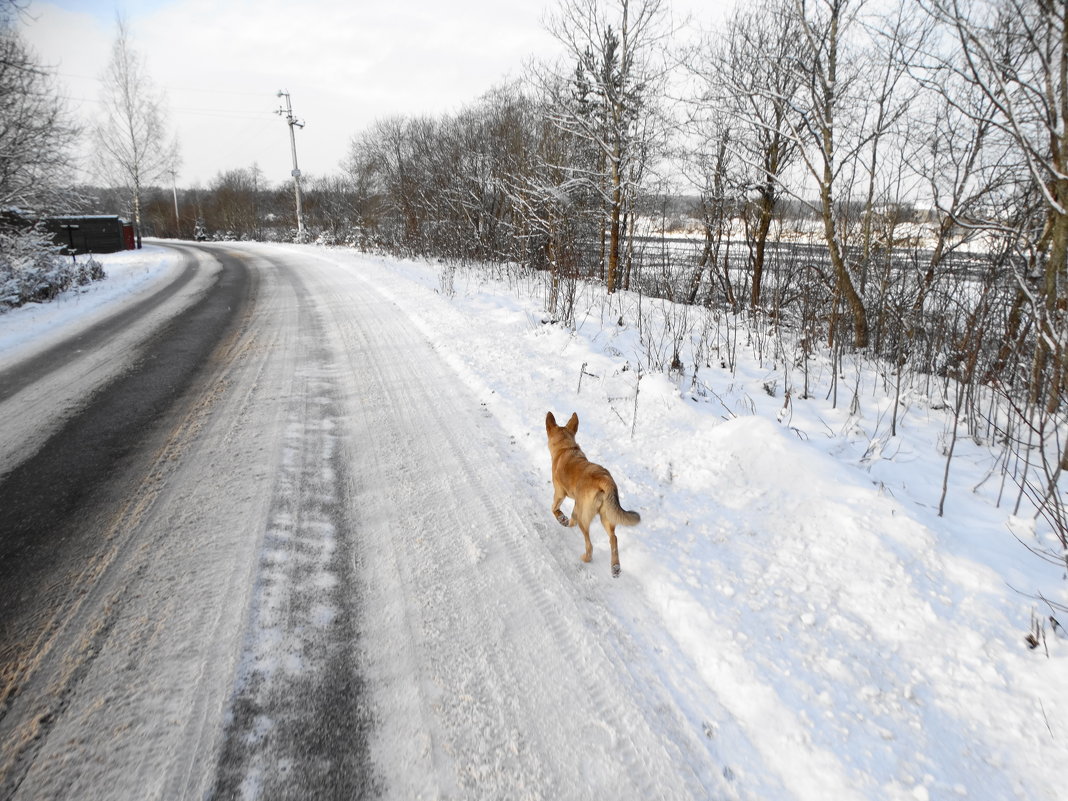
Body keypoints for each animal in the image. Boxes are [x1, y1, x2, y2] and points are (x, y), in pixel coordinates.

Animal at [546, 414, 636, 576]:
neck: (566, 448)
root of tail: (604, 479)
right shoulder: (578, 503)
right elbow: (572, 516)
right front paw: (568, 523)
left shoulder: (559, 493)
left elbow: (554, 508)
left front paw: (562, 518)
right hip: (606, 516)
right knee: (614, 538)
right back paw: (615, 567)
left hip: (586, 518)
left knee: (590, 544)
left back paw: (586, 558)